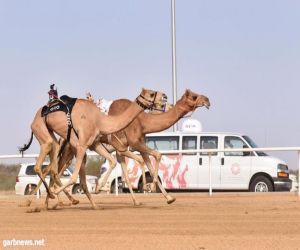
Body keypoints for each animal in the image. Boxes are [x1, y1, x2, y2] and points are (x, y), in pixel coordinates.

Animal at [19, 88, 168, 209]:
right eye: (152, 93)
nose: (165, 97)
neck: (100, 119)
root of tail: (36, 116)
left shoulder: (95, 144)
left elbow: (113, 163)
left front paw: (98, 188)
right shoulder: (83, 145)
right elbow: (74, 178)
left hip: (59, 144)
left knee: (53, 169)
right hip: (43, 132)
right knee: (42, 166)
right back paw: (51, 197)